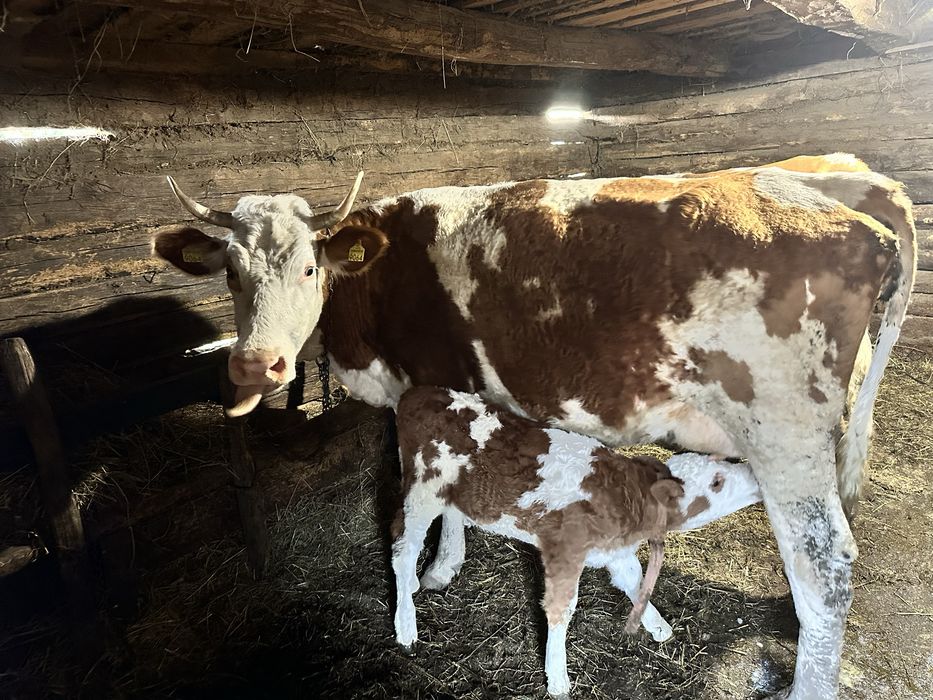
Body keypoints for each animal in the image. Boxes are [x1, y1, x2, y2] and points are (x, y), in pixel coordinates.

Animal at [392, 386, 763, 697]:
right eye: (716, 482)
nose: (754, 475)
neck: (628, 498)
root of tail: (417, 394)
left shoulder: (616, 551)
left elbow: (635, 580)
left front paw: (658, 625)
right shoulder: (564, 551)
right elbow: (561, 609)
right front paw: (557, 678)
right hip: (422, 491)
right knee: (402, 547)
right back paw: (405, 624)